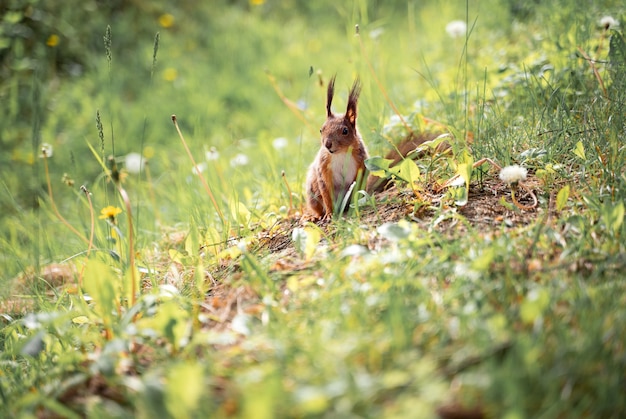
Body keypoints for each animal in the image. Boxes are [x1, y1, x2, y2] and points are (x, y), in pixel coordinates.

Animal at [304, 76, 442, 221]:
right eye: (321, 129)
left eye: (345, 131)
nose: (328, 144)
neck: (341, 153)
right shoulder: (323, 166)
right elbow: (326, 192)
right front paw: (330, 214)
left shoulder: (361, 164)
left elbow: (357, 186)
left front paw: (355, 208)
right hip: (312, 195)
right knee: (318, 206)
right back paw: (315, 216)